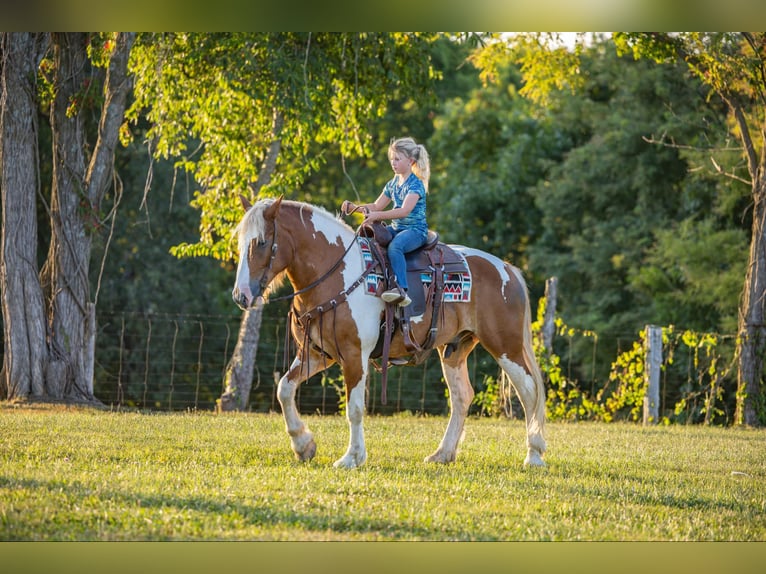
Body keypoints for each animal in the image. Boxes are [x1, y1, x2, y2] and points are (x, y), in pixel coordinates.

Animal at [232, 196, 546, 469]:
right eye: (240, 243)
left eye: (261, 242)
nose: (241, 295)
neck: (337, 272)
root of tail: (507, 269)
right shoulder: (317, 353)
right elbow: (284, 388)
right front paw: (303, 445)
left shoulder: (354, 355)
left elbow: (355, 408)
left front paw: (352, 457)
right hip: (455, 349)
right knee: (462, 397)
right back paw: (443, 454)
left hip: (505, 346)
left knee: (528, 391)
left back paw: (534, 454)